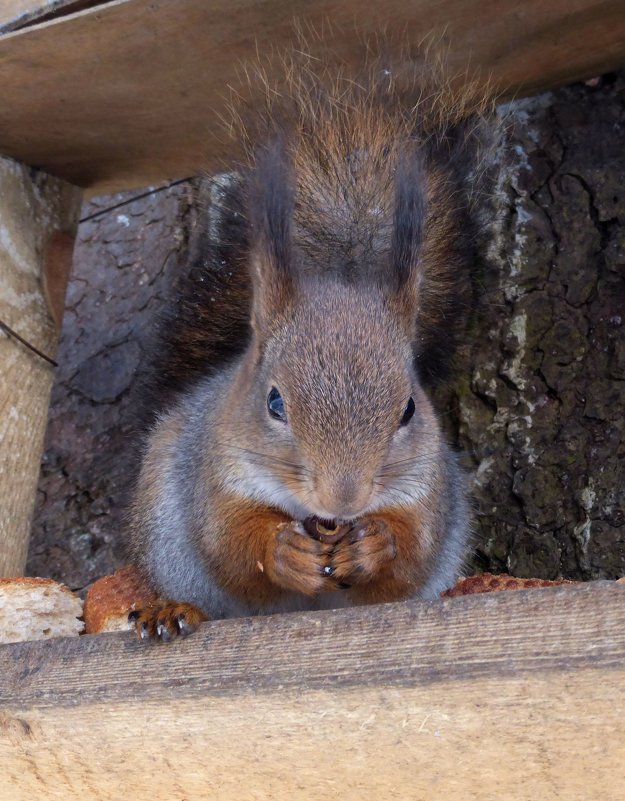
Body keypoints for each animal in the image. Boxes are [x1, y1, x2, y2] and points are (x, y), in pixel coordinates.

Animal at [125, 48, 498, 636]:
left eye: (409, 409)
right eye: (274, 402)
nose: (343, 499)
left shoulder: (429, 491)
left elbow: (411, 553)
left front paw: (375, 545)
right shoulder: (214, 476)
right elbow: (231, 546)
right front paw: (283, 552)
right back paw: (172, 611)